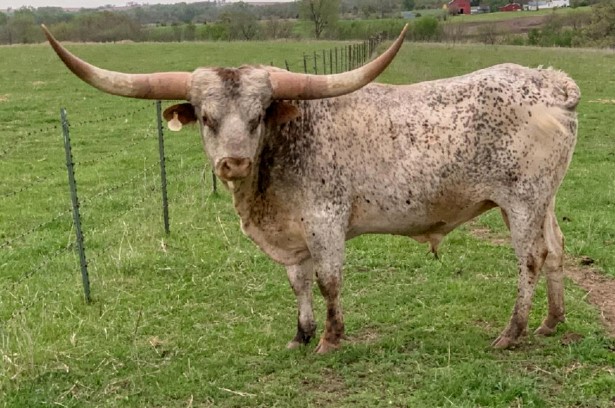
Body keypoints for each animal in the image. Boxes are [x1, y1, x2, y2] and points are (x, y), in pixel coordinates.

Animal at [43, 24, 580, 353]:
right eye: (208, 118)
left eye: (258, 116)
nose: (233, 162)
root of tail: (551, 83)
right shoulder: (292, 234)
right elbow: (298, 283)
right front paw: (300, 336)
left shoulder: (326, 222)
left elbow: (327, 281)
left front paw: (330, 338)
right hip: (543, 200)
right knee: (555, 249)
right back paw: (552, 322)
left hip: (522, 200)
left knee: (530, 259)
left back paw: (512, 332)